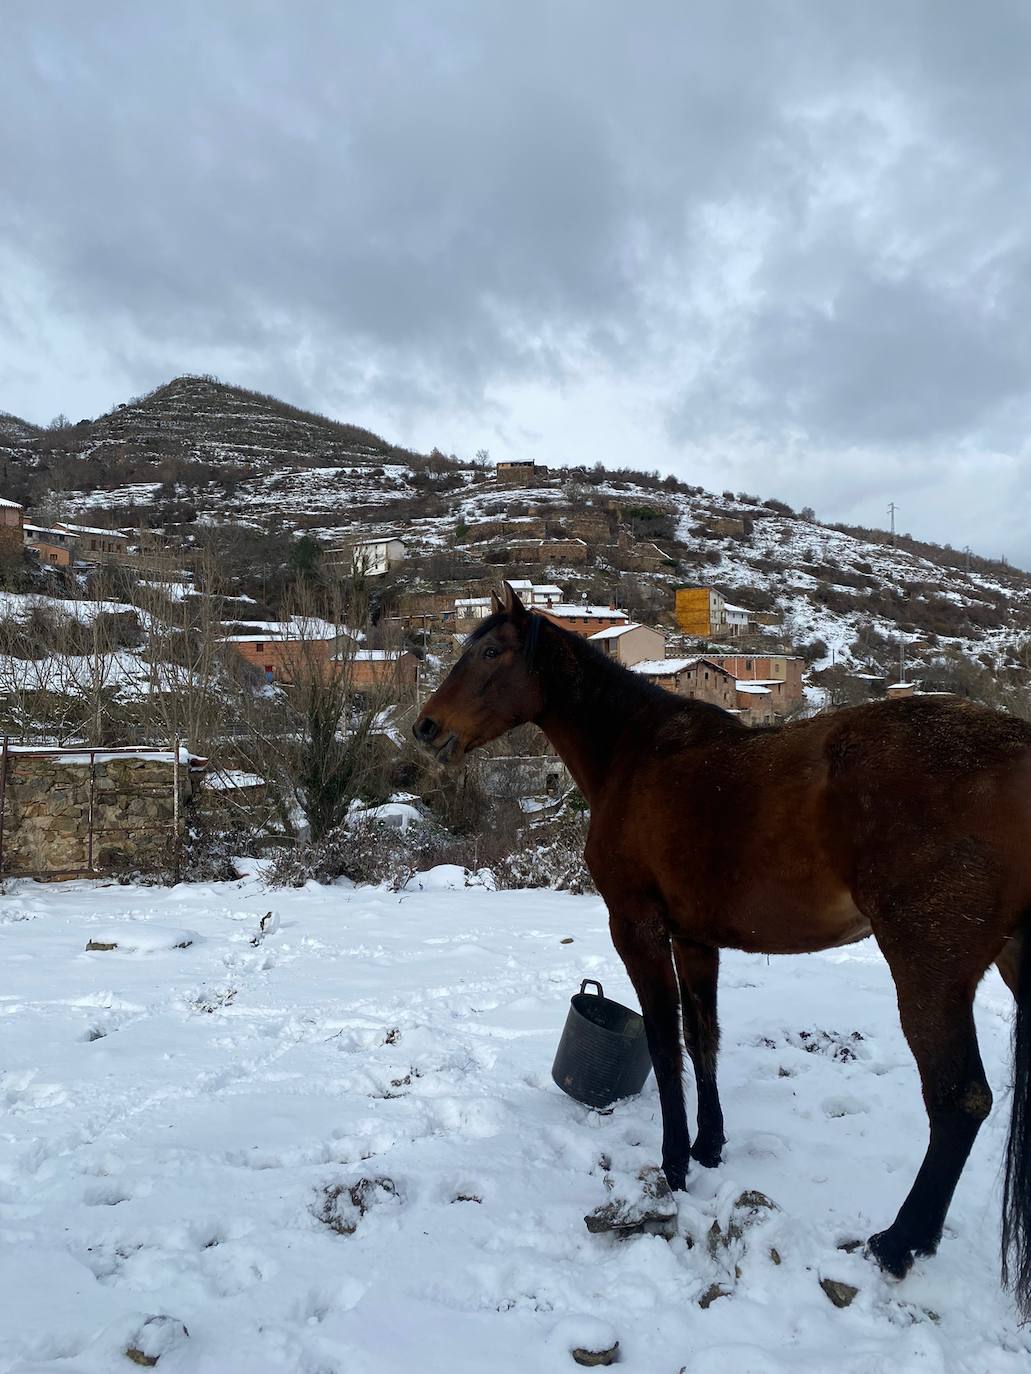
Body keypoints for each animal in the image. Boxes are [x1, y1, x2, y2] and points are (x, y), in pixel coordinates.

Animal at [415, 585, 1031, 1313]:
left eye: (489, 652)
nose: (426, 728)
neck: (636, 753)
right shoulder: (694, 937)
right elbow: (700, 1039)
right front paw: (709, 1145)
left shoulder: (637, 927)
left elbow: (662, 1041)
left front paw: (674, 1163)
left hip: (928, 970)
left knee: (958, 1101)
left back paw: (899, 1242)